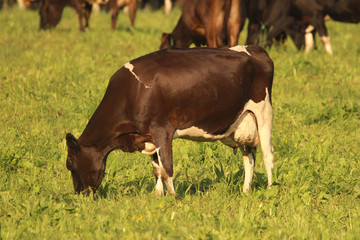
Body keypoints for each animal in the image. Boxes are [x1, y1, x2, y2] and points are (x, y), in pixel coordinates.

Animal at [66, 45, 274, 197]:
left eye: (69, 164)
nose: (79, 195)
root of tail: (255, 49)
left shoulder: (161, 129)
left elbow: (167, 167)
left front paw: (174, 198)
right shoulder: (149, 136)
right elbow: (157, 168)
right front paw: (158, 195)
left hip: (264, 111)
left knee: (267, 154)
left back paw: (271, 189)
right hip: (245, 123)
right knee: (249, 157)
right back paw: (245, 191)